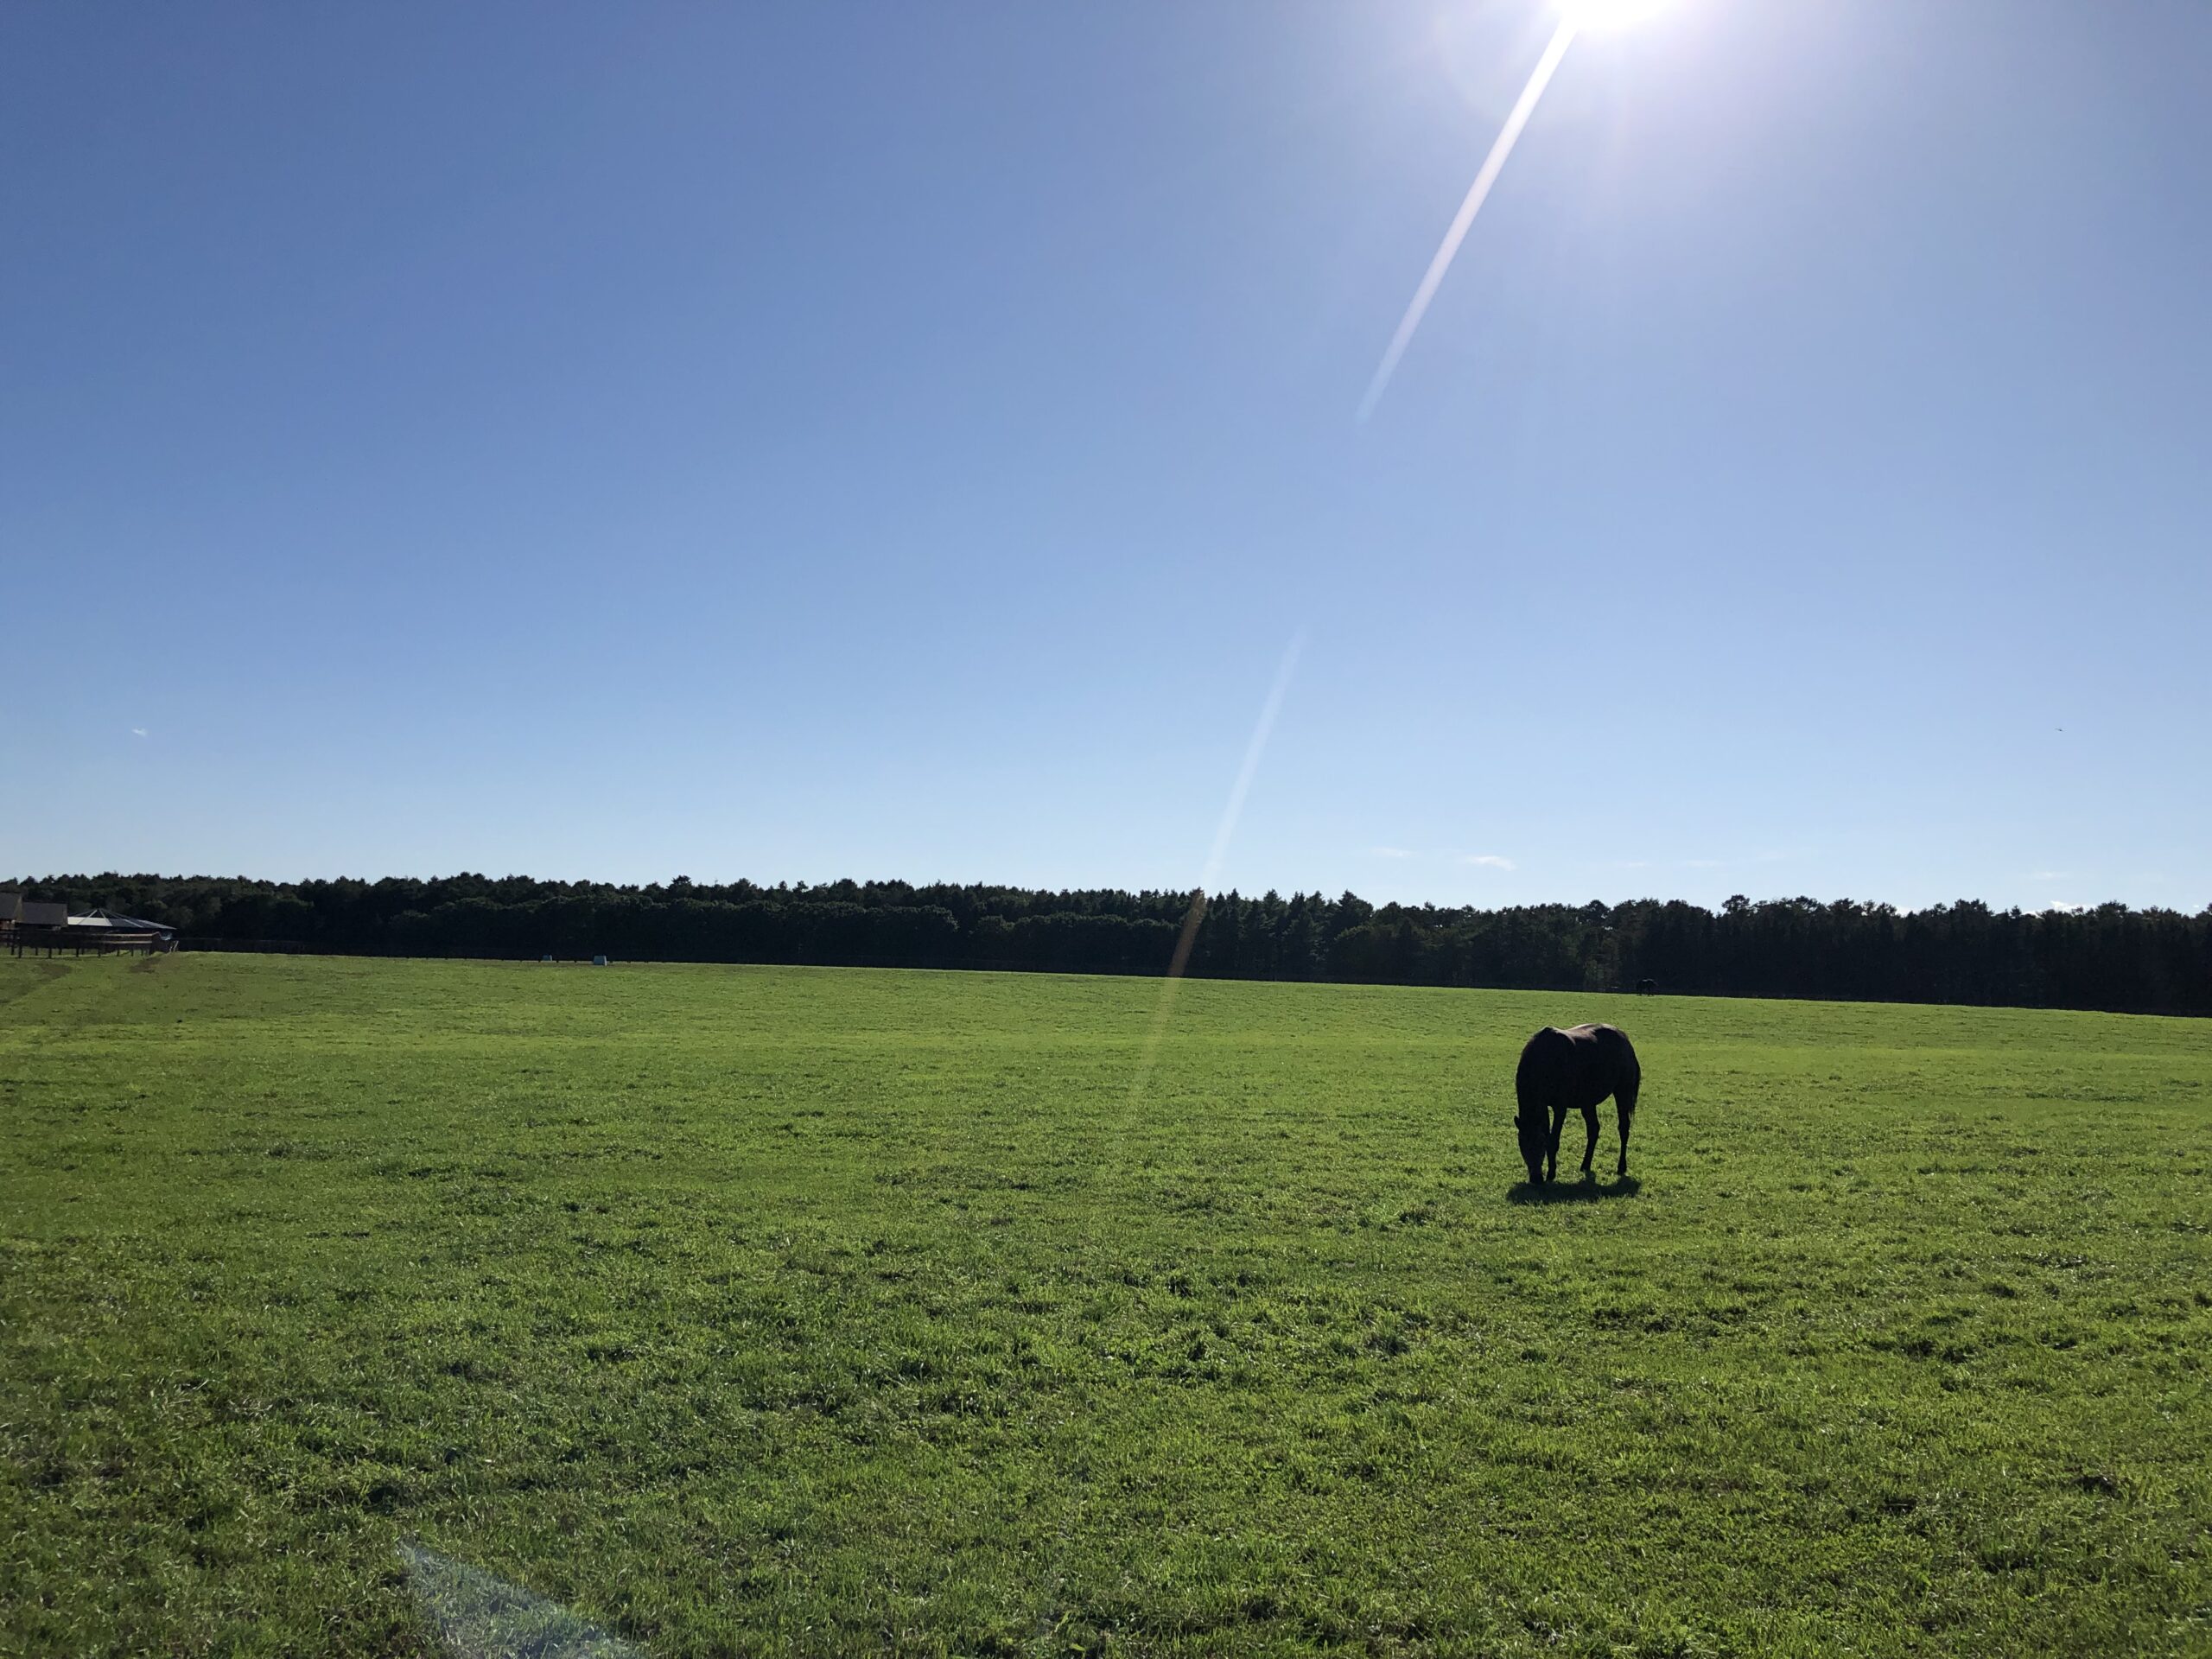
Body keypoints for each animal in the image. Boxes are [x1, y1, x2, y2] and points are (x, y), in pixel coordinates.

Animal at [1513, 1021, 1637, 1185]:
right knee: (1594, 1129)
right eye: (1521, 1144)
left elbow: (1553, 1140)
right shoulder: (1545, 1104)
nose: (1536, 1179)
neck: (1544, 1058)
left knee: (1623, 1128)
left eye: (1541, 1143)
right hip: (1588, 1102)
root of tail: (1625, 1039)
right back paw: (1585, 1165)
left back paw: (1621, 1167)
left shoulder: (1560, 1107)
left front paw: (1551, 1174)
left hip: (1622, 1092)